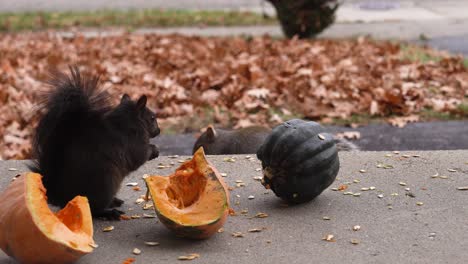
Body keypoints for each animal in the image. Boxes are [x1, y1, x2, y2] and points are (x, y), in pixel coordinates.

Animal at [30, 67, 161, 220]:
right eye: (152, 118)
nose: (159, 130)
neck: (127, 122)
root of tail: (61, 196)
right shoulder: (133, 143)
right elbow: (140, 155)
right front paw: (154, 149)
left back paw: (114, 201)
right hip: (105, 181)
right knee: (94, 209)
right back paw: (110, 212)